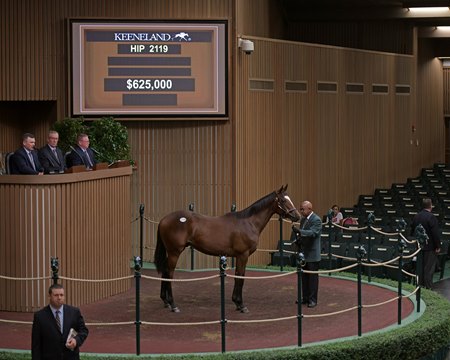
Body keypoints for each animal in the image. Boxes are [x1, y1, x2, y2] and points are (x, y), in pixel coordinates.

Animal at [153, 186, 300, 312]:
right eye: (283, 200)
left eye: (290, 198)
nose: (297, 216)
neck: (248, 222)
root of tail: (163, 220)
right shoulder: (243, 255)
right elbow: (241, 277)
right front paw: (241, 305)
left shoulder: (239, 256)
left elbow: (237, 276)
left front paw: (236, 302)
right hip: (174, 252)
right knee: (169, 274)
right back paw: (173, 305)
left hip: (171, 252)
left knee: (165, 271)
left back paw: (165, 301)